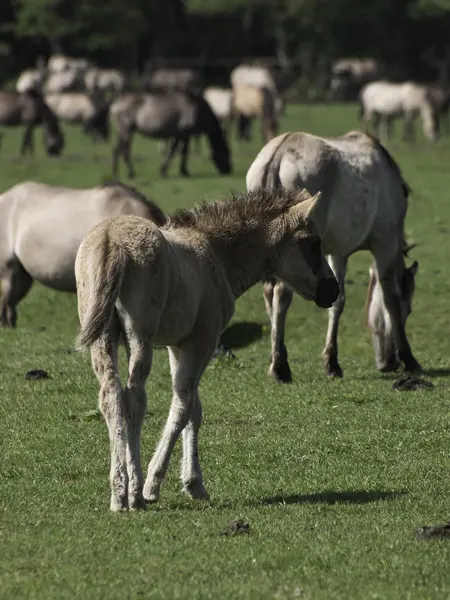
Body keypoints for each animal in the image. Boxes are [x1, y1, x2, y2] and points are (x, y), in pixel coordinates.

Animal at [75, 189, 340, 510]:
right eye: (313, 243)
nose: (333, 290)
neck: (217, 254)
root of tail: (111, 239)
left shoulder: (178, 346)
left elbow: (194, 409)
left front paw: (194, 483)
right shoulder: (202, 342)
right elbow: (183, 406)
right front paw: (154, 483)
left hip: (103, 339)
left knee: (111, 396)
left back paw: (118, 493)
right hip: (140, 337)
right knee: (135, 397)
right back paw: (135, 492)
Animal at [244, 131, 420, 382]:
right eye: (410, 309)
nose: (387, 363)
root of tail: (278, 154)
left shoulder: (338, 252)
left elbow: (337, 302)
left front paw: (332, 362)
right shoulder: (384, 243)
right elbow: (391, 299)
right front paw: (408, 357)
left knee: (269, 295)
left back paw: (277, 357)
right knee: (280, 296)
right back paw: (279, 367)